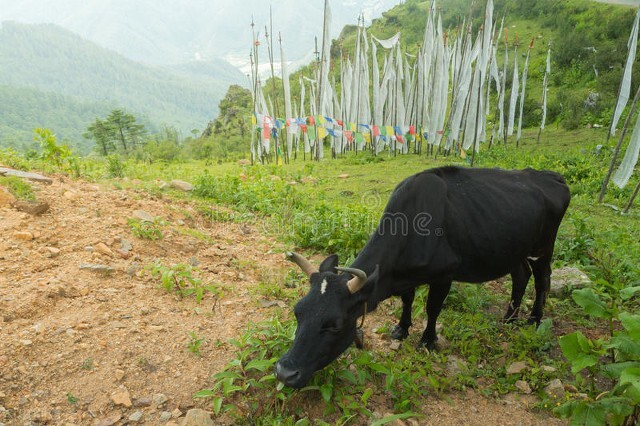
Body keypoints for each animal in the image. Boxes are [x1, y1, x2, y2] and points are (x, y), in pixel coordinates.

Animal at [276, 166, 568, 390]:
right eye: (297, 312)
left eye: (334, 324)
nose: (284, 372)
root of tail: (551, 176)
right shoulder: (406, 278)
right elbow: (407, 300)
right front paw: (402, 328)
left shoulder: (444, 275)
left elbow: (432, 308)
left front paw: (427, 340)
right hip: (514, 250)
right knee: (521, 275)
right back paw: (508, 318)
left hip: (543, 248)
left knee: (542, 279)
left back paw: (533, 319)